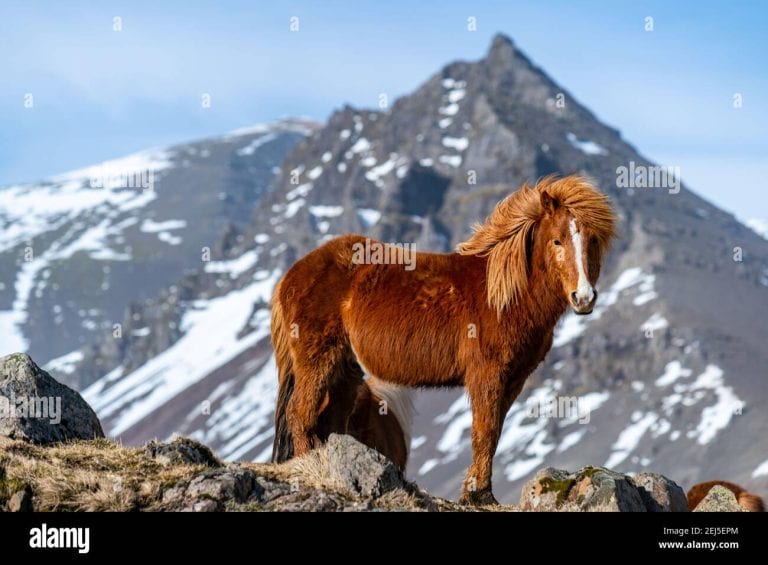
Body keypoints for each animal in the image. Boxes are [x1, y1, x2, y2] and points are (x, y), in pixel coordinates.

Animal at [271, 175, 616, 504]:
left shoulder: (514, 379)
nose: (584, 298)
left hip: (346, 371)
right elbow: (485, 431)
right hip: (318, 360)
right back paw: (310, 464)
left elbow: (495, 433)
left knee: (329, 420)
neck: (503, 297)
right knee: (299, 413)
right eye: (557, 240)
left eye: (592, 240)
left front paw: (475, 491)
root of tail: (291, 275)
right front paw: (480, 494)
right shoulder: (486, 375)